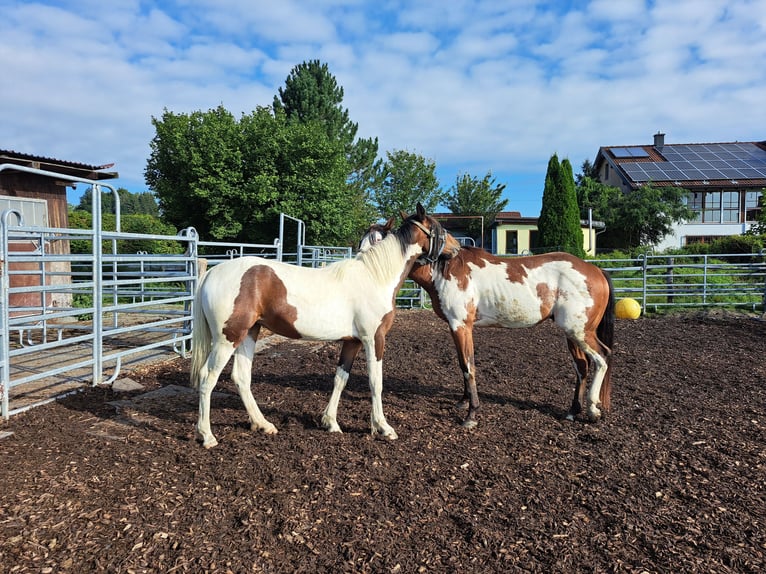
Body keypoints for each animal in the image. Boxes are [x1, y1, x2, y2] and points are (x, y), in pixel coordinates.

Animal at [190, 206, 462, 450]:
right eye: (439, 228)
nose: (457, 248)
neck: (375, 277)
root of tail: (212, 273)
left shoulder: (352, 341)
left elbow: (340, 379)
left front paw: (330, 422)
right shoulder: (374, 339)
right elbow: (376, 381)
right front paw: (383, 427)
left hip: (249, 333)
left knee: (241, 377)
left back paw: (263, 424)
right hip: (227, 339)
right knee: (207, 377)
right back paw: (207, 436)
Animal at [360, 218, 616, 430]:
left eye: (377, 243)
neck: (446, 270)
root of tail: (595, 270)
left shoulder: (461, 326)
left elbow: (468, 365)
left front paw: (471, 415)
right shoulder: (456, 327)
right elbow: (462, 364)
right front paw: (464, 402)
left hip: (580, 332)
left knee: (602, 357)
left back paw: (592, 409)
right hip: (572, 334)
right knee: (582, 367)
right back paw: (573, 411)